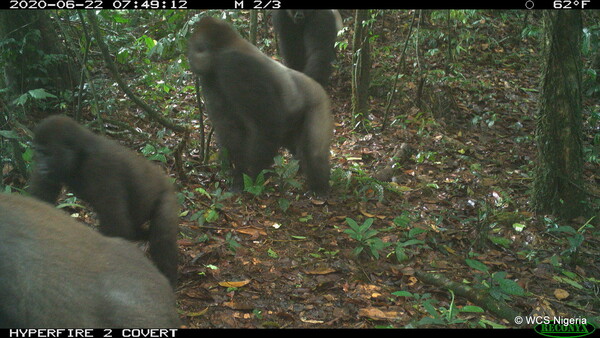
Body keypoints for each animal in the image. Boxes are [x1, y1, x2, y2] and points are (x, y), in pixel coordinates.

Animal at [28, 115, 178, 286]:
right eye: (38, 152)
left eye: (46, 153)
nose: (40, 166)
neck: (80, 153)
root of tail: (166, 180)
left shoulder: (101, 166)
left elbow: (117, 228)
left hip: (167, 196)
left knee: (163, 238)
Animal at [188, 16, 332, 195]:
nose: (190, 58)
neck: (223, 47)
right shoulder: (209, 77)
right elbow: (228, 129)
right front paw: (235, 173)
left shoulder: (234, 66)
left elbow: (267, 123)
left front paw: (251, 178)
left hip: (318, 102)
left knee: (314, 152)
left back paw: (320, 189)